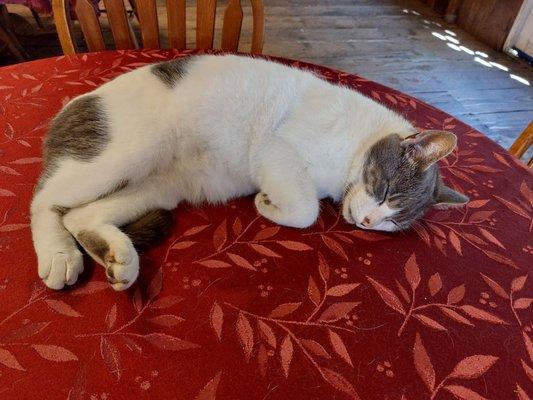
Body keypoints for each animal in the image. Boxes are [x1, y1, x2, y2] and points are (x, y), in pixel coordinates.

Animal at [31, 54, 468, 290]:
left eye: (393, 223)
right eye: (386, 191)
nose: (368, 222)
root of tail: (71, 104)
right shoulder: (278, 149)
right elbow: (306, 210)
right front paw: (266, 203)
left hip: (160, 187)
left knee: (80, 216)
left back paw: (117, 258)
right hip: (130, 151)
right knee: (43, 201)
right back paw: (59, 255)